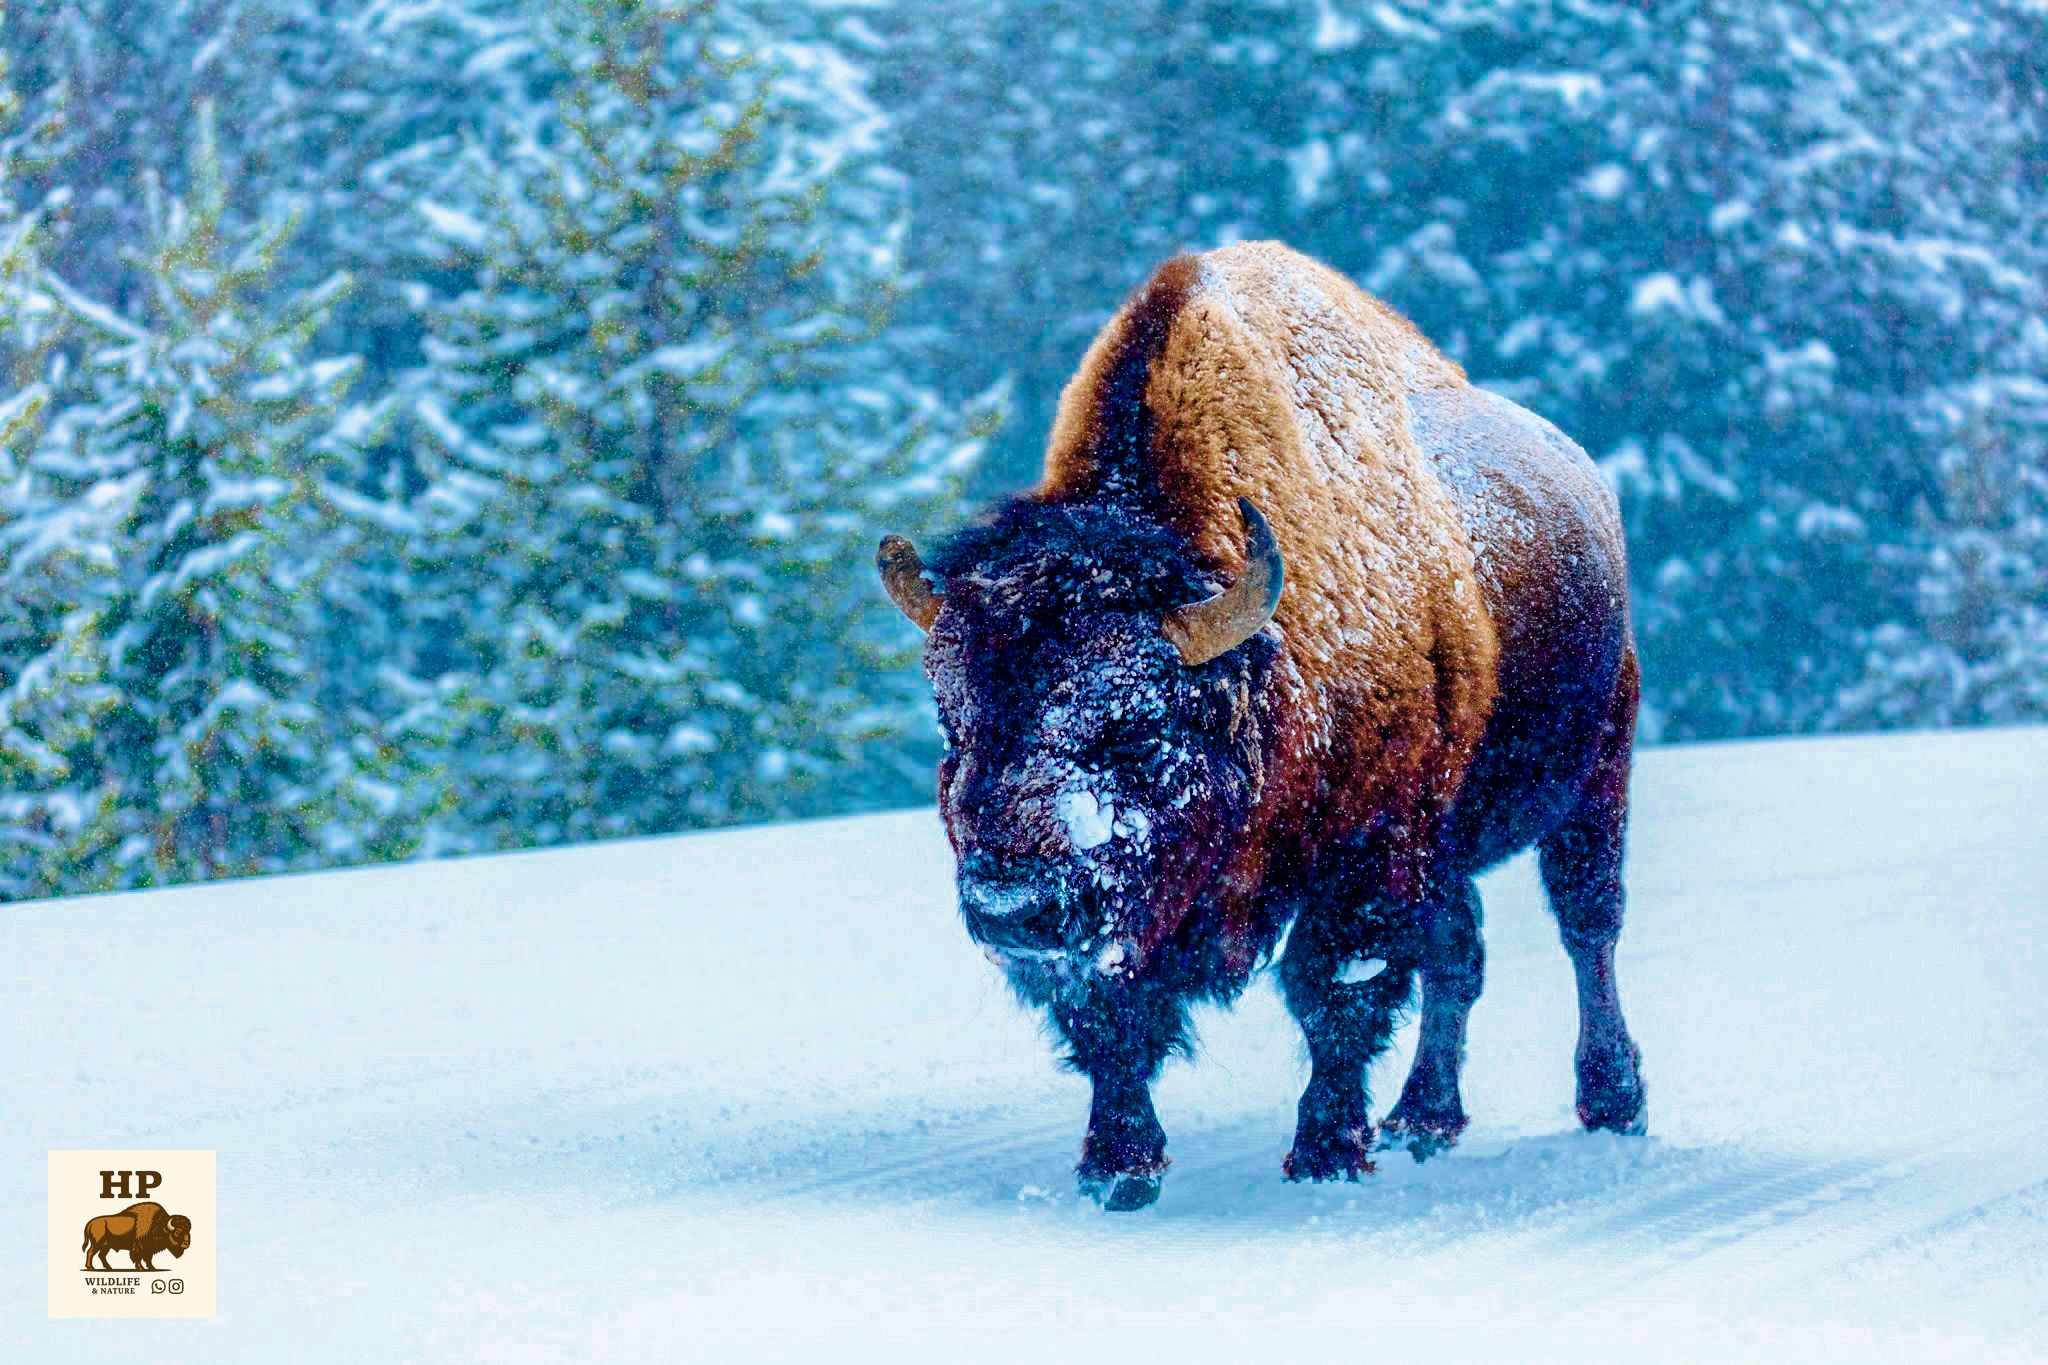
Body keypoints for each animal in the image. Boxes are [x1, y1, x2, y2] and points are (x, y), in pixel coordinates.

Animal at [880, 241, 1645, 1210]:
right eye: (955, 723)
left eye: (1137, 729)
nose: (1009, 905)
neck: (1263, 662)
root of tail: (1587, 478)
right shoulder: (1122, 914)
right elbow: (1112, 1018)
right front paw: (1117, 1166)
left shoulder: (1363, 854)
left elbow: (1333, 992)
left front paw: (1326, 1152)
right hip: (1450, 840)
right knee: (1459, 954)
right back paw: (1423, 1120)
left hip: (1597, 773)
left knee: (1588, 923)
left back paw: (1612, 1102)